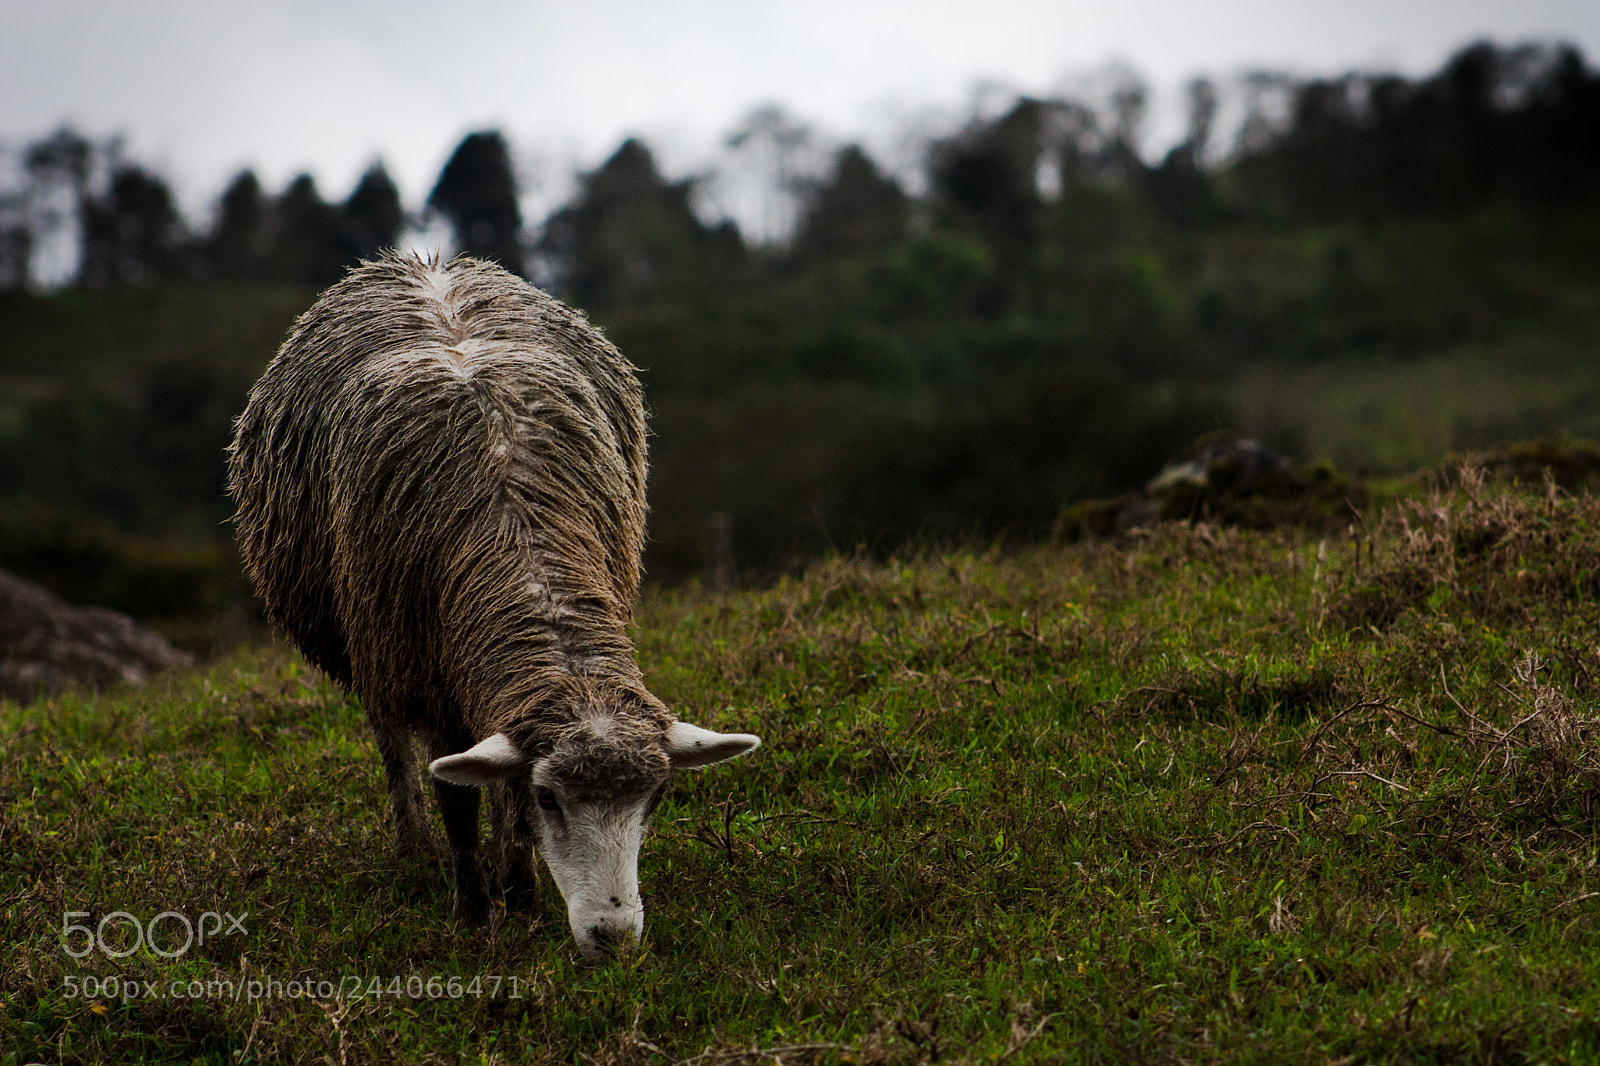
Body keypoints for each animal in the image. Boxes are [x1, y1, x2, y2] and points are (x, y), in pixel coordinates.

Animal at [227, 252, 759, 957]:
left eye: (657, 796)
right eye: (551, 798)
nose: (613, 936)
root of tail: (421, 260)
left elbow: (499, 784)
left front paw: (523, 895)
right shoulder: (426, 675)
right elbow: (458, 798)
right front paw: (475, 915)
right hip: (369, 642)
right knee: (392, 742)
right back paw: (414, 852)